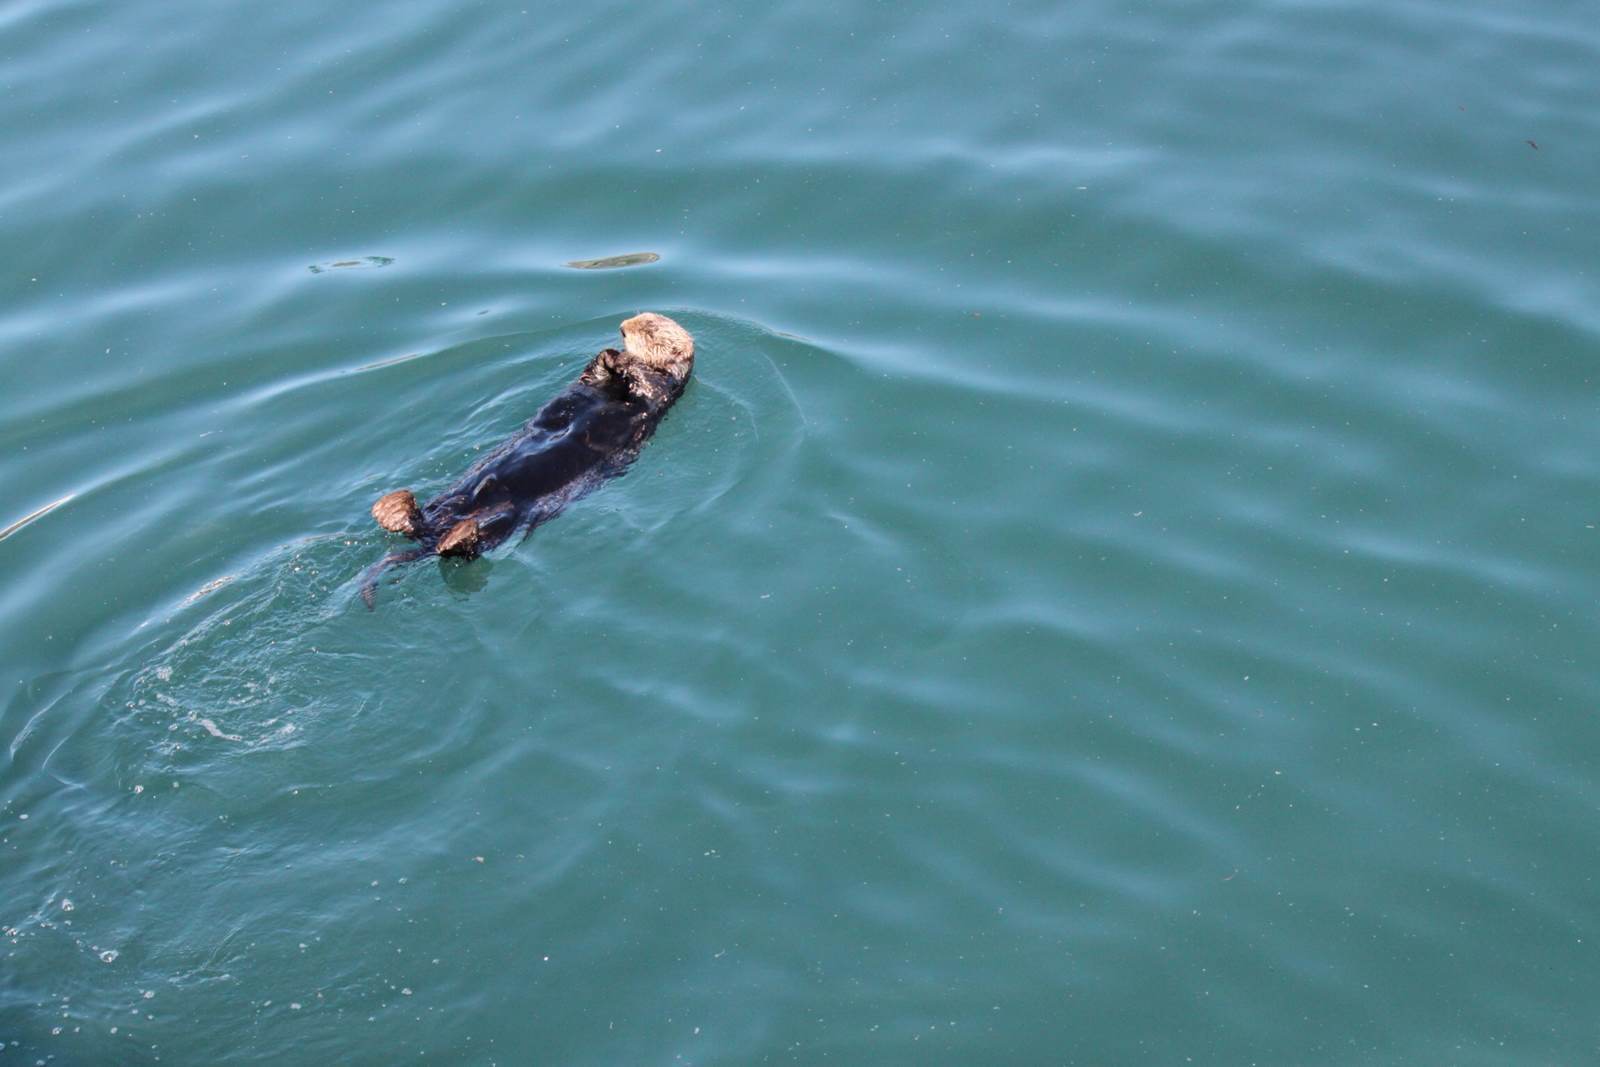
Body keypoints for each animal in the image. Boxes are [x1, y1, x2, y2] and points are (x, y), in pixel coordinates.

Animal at [359, 312, 695, 606]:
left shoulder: (661, 389)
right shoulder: (593, 381)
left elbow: (645, 384)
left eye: (650, 330)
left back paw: (452, 535)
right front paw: (609, 355)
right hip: (453, 496)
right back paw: (392, 509)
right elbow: (591, 374)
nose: (623, 328)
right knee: (418, 523)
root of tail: (434, 537)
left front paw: (623, 360)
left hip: (510, 517)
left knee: (464, 549)